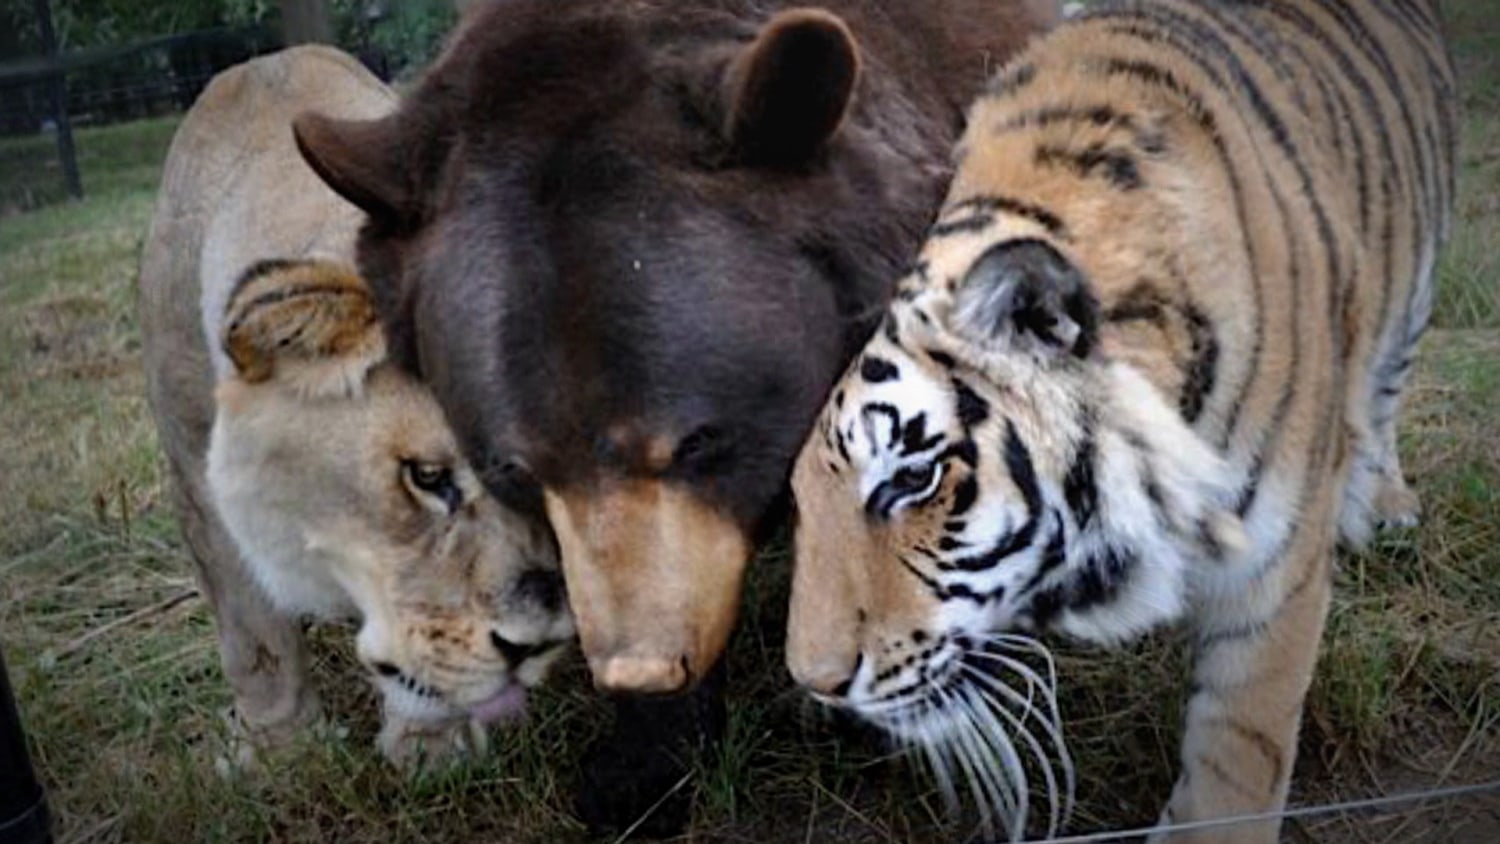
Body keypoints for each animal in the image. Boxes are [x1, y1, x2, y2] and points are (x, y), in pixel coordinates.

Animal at [784, 0, 1456, 840]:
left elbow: (1241, 751)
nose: (815, 683)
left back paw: (1388, 503)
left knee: (1387, 388)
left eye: (915, 478)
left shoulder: (1277, 571)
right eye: (800, 497)